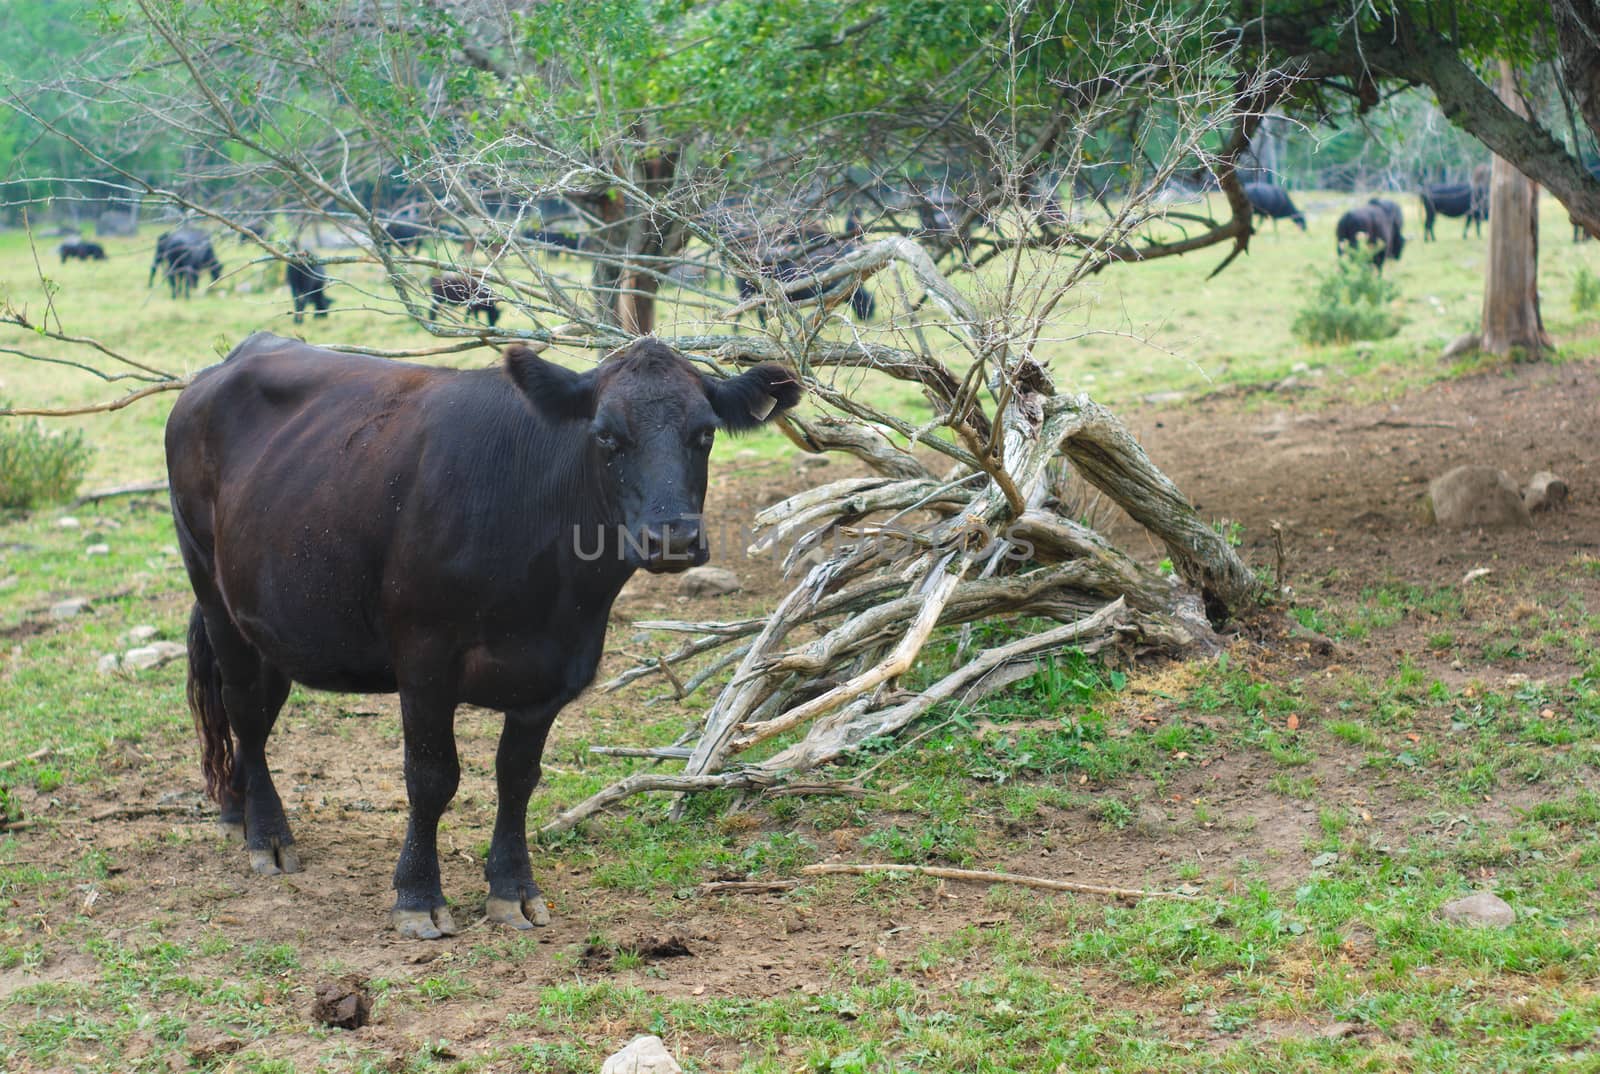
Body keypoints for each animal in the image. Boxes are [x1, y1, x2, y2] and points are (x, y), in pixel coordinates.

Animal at [165, 331, 800, 934]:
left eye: (705, 434)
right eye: (604, 436)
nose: (672, 538)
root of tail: (230, 361)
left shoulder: (554, 670)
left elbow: (517, 778)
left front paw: (513, 890)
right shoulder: (424, 659)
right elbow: (431, 777)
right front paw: (418, 897)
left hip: (271, 614)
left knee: (260, 708)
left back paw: (237, 810)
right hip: (211, 587)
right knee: (245, 710)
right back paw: (268, 836)